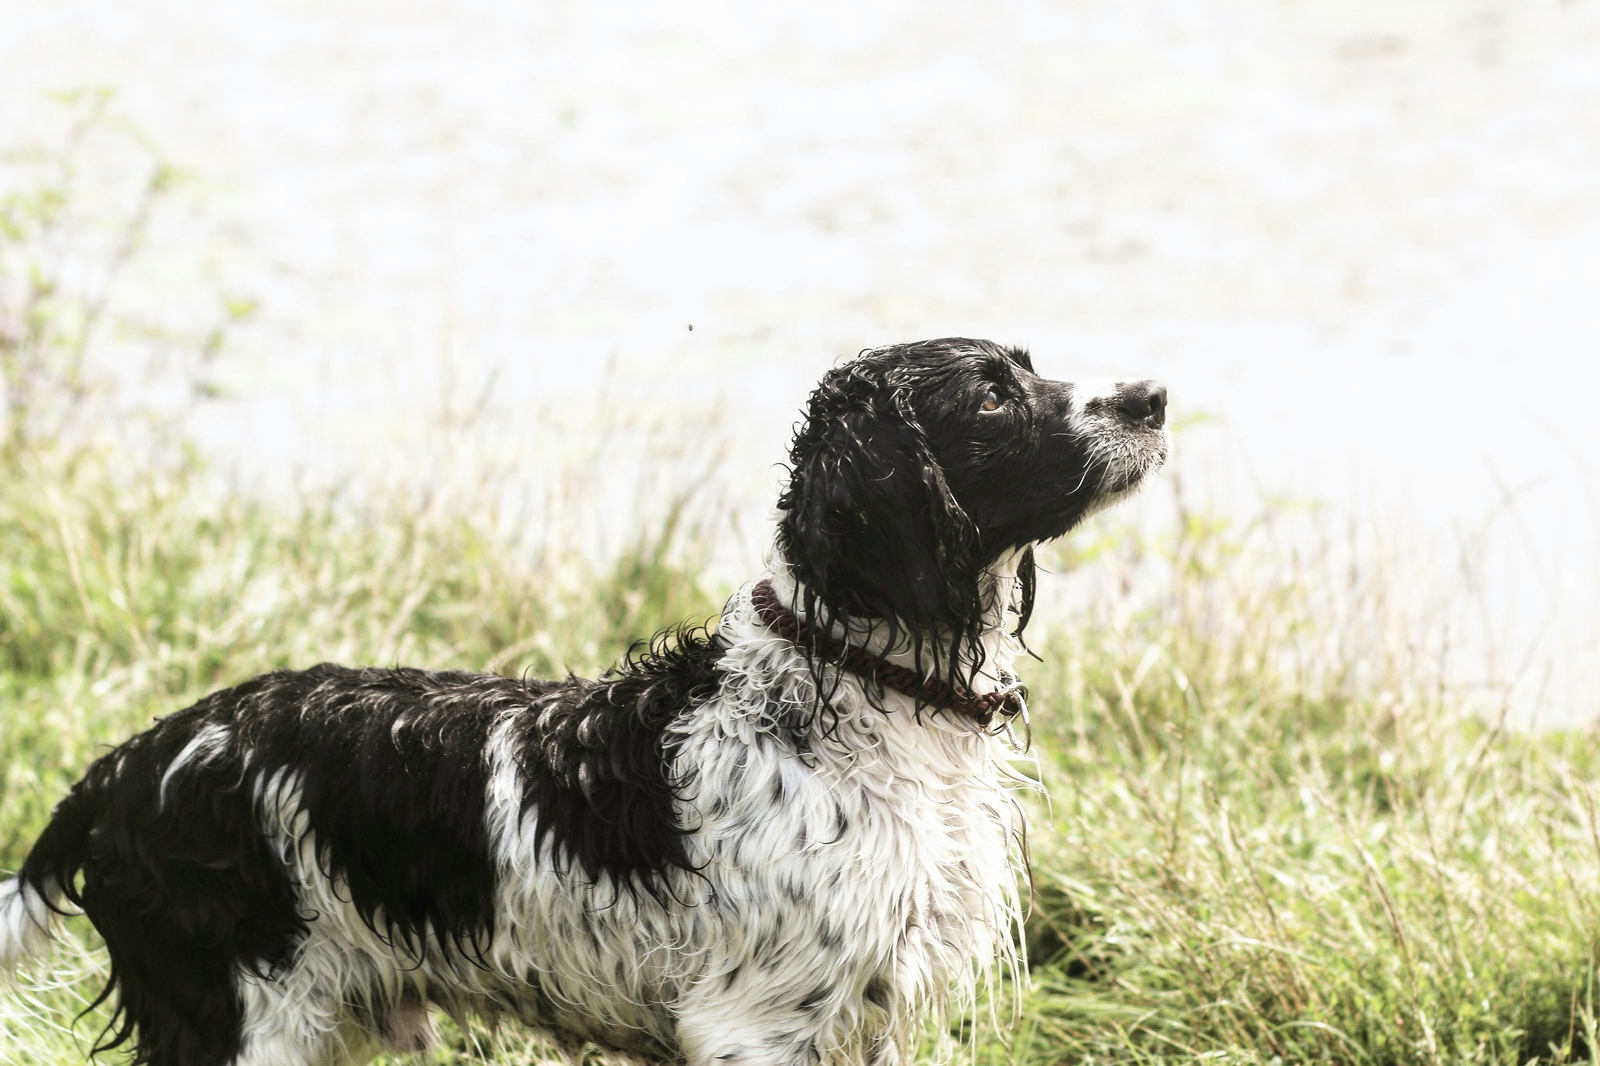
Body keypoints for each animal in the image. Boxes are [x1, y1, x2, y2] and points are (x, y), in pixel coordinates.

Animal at [3, 340, 1177, 1062]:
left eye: (1026, 368)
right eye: (990, 395)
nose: (1153, 396)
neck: (861, 693)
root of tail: (120, 769)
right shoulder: (755, 1024)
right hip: (243, 1023)